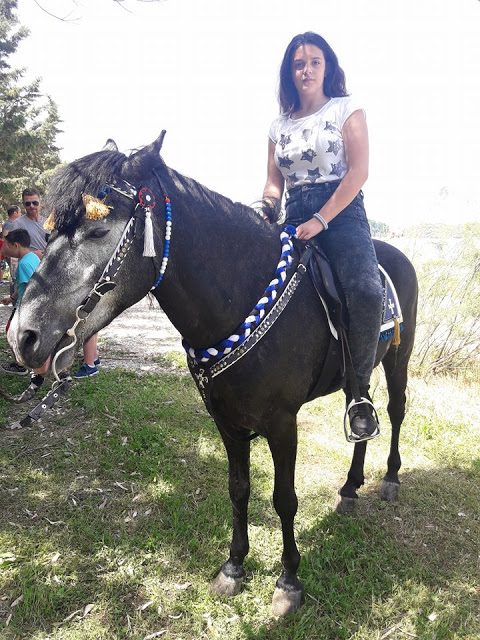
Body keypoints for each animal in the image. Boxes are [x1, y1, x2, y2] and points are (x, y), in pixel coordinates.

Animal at [9, 132, 418, 616]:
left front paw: (288, 580)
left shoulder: (283, 423)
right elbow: (239, 489)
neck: (241, 296)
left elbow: (284, 499)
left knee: (395, 410)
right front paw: (234, 567)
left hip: (399, 357)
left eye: (97, 230)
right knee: (361, 414)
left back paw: (389, 480)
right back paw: (351, 488)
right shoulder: (226, 421)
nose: (23, 336)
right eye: (50, 230)